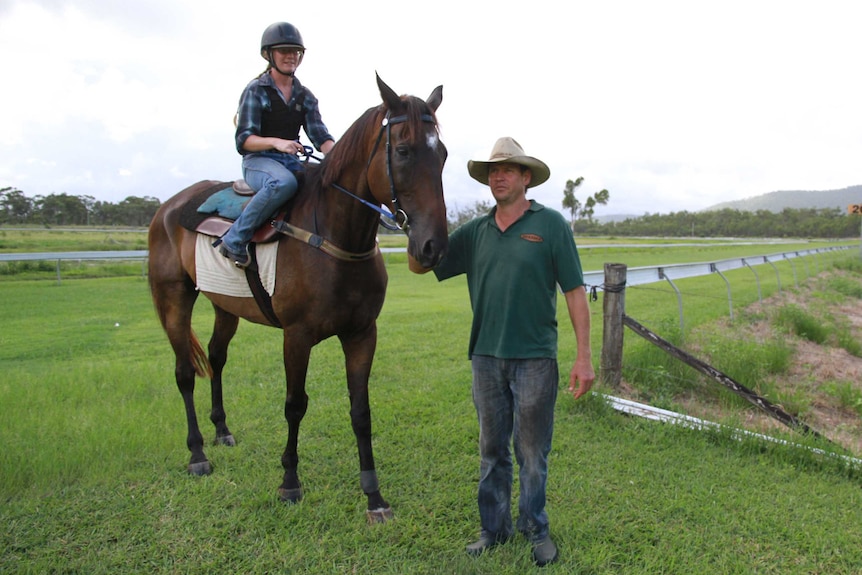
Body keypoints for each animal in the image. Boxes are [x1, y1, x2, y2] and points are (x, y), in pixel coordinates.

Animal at [146, 75, 448, 520]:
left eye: (441, 154)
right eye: (404, 150)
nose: (433, 247)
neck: (333, 236)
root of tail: (166, 208)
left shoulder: (362, 334)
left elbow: (361, 411)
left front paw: (373, 495)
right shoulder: (297, 336)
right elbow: (295, 404)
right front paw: (290, 481)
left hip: (224, 307)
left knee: (216, 359)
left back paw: (222, 430)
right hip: (174, 298)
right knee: (185, 372)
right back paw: (198, 453)